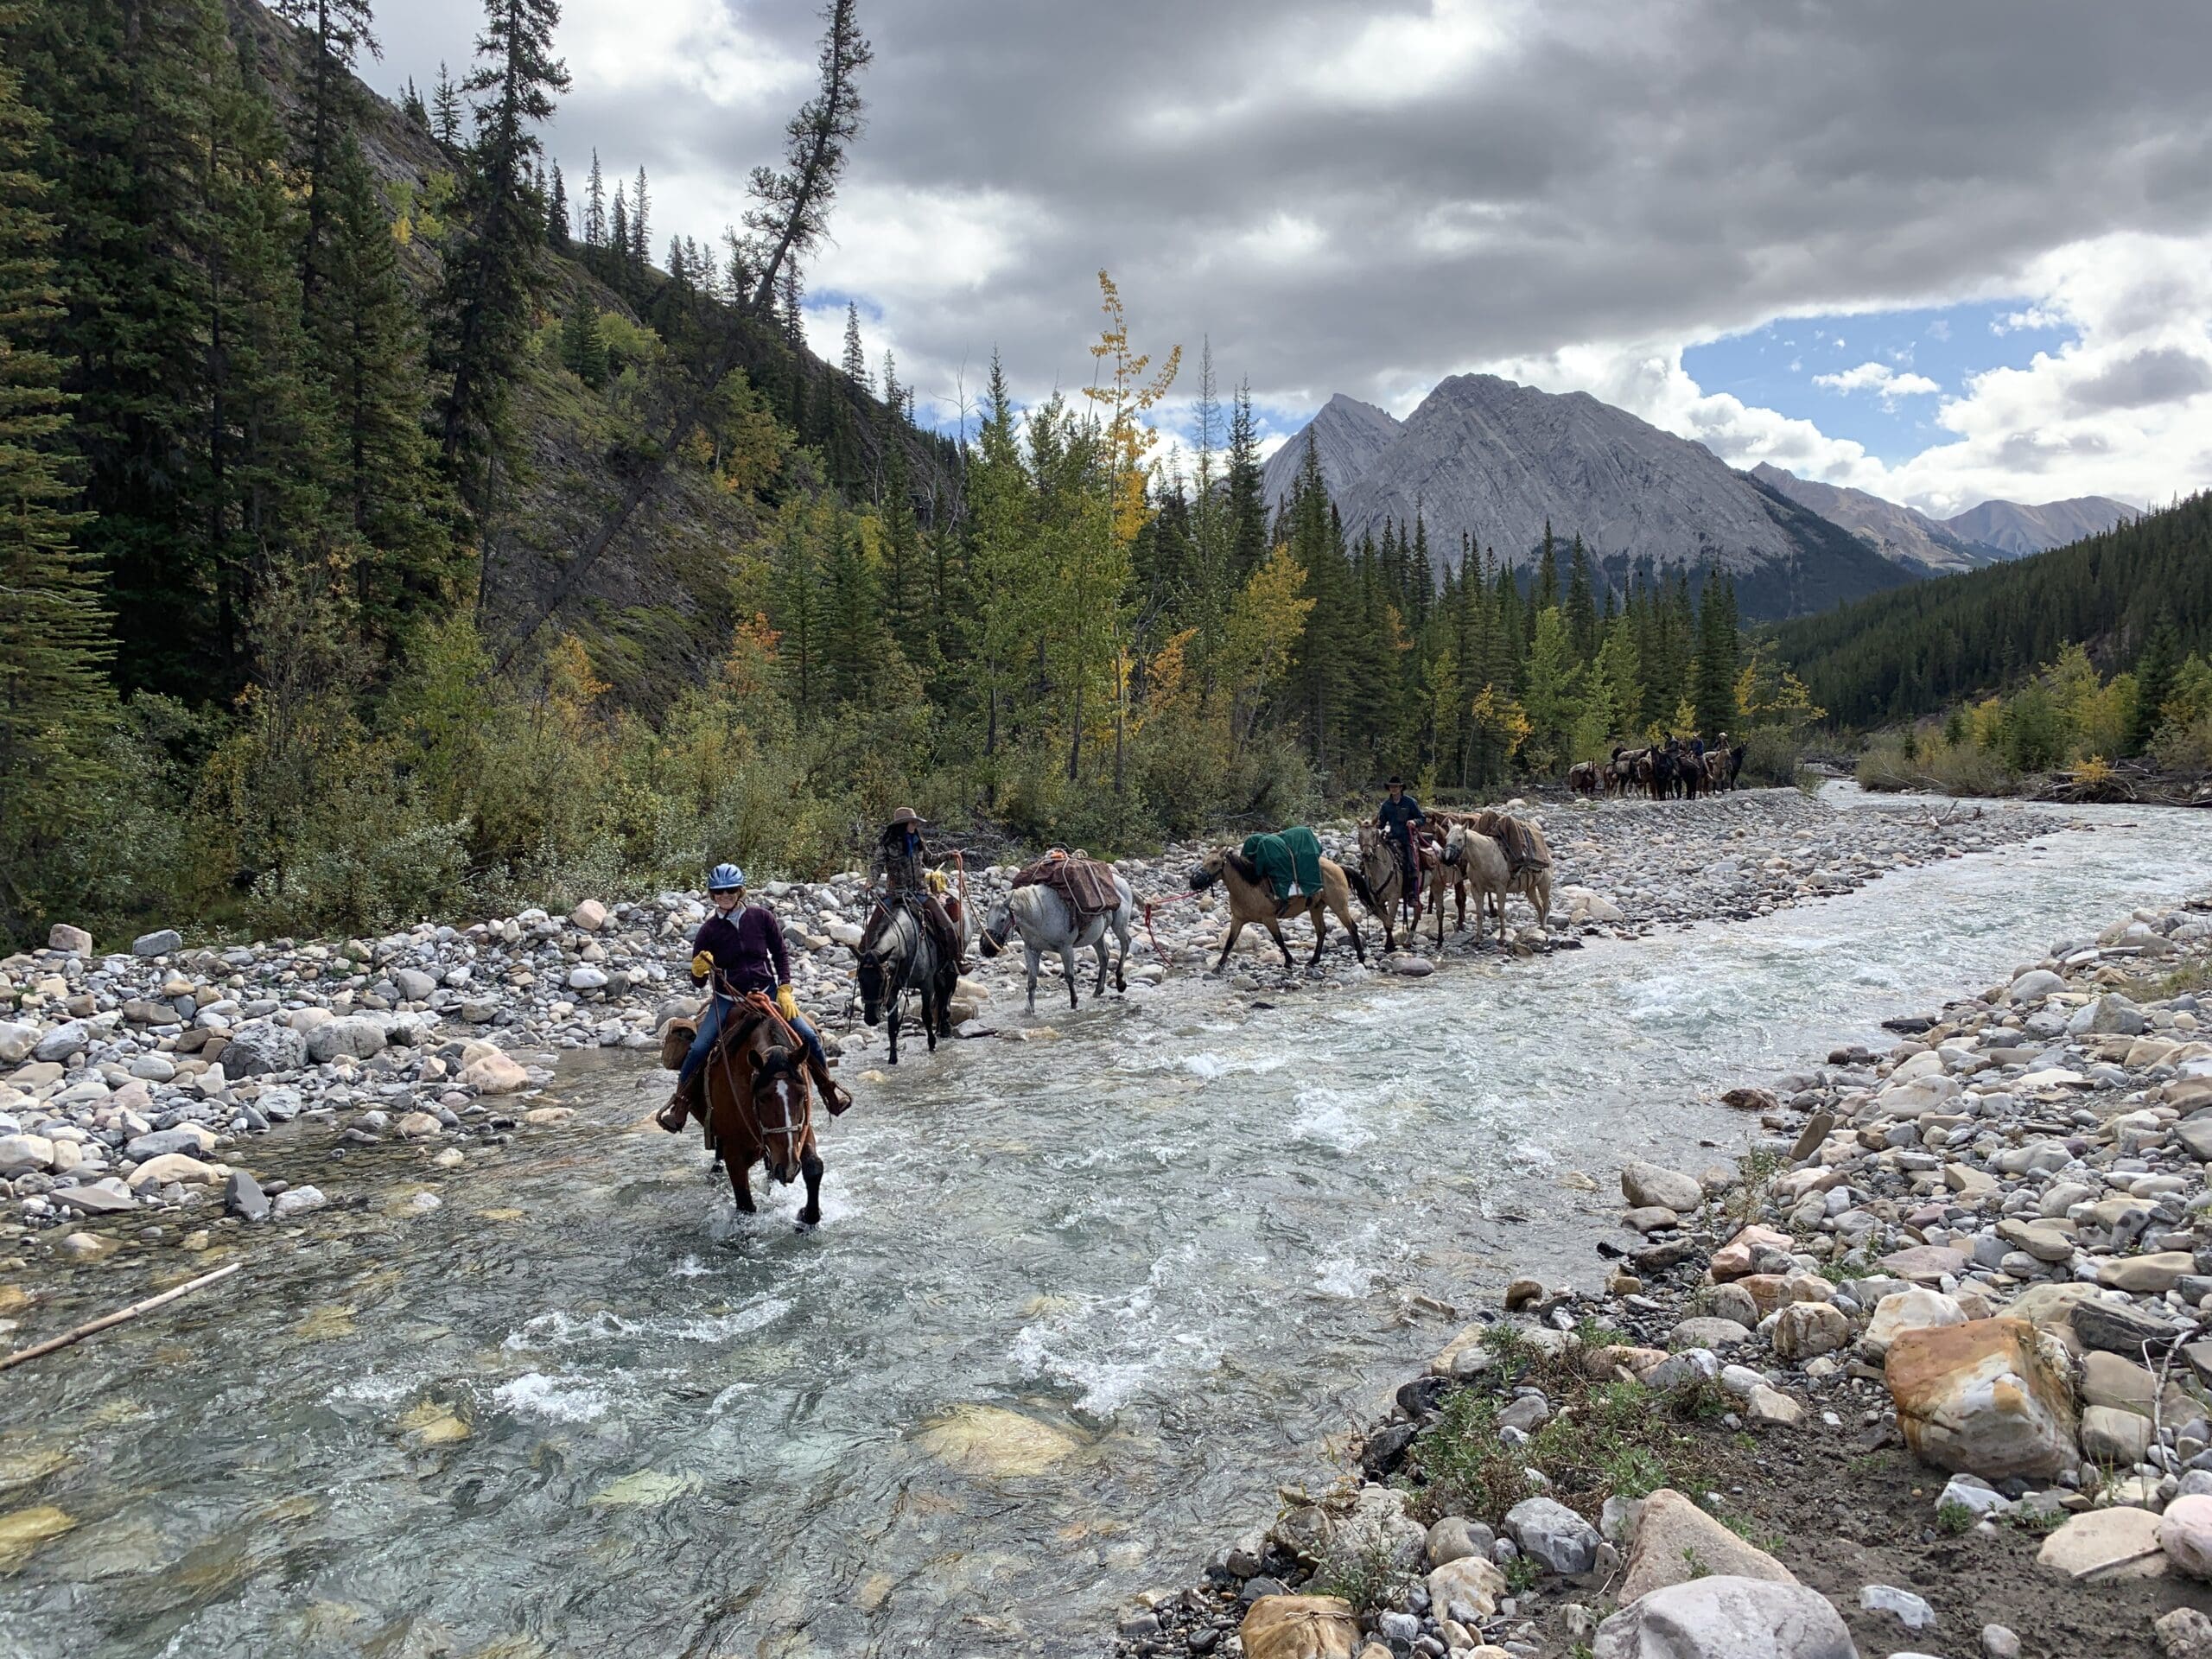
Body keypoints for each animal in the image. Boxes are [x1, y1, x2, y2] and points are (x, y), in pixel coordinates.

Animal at [664, 995, 831, 1230]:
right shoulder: (735, 1154)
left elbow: (814, 1168)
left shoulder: (801, 1129)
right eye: (762, 1097)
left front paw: (806, 1217)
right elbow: (745, 1206)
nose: (788, 1168)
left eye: (802, 1094)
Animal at [977, 871, 1132, 1013]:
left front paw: (1074, 1002)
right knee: (1104, 955)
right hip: (1097, 935)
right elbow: (1032, 980)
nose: (986, 948)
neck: (1040, 915)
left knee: (1125, 943)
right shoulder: (1031, 950)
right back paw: (1098, 990)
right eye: (987, 917)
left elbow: (1069, 976)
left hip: (1119, 925)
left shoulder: (1066, 948)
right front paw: (1030, 1010)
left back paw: (1120, 983)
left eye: (1002, 919)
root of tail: (1122, 881)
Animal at [1194, 844, 1362, 973]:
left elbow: (1279, 939)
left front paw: (1288, 961)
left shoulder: (1269, 919)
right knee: (1321, 931)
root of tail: (1338, 867)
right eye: (1203, 861)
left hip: (1339, 906)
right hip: (1316, 908)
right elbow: (1230, 941)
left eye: (1215, 862)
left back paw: (1361, 958)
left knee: (1351, 927)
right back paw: (1313, 961)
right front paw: (1218, 966)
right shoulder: (1238, 919)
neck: (1249, 887)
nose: (1194, 881)